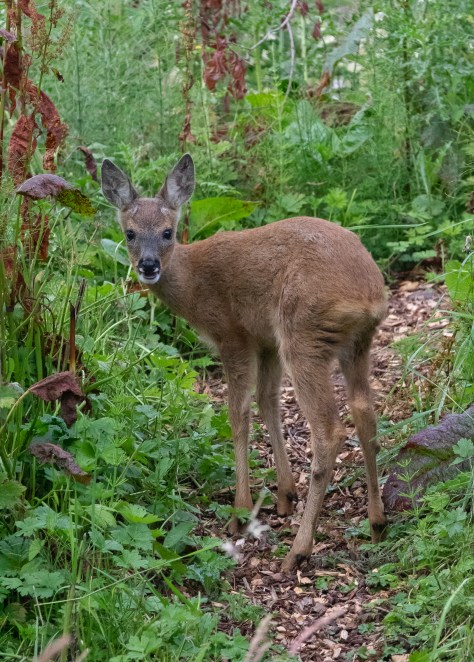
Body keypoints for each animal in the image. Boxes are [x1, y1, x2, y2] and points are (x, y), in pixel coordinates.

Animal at [101, 154, 388, 572]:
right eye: (130, 233)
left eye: (169, 232)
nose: (149, 266)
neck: (193, 283)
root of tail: (368, 293)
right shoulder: (264, 340)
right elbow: (268, 401)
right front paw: (284, 495)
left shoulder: (233, 335)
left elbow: (237, 414)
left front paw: (240, 512)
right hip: (355, 343)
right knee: (365, 410)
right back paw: (377, 522)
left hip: (303, 334)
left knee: (330, 429)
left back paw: (299, 549)